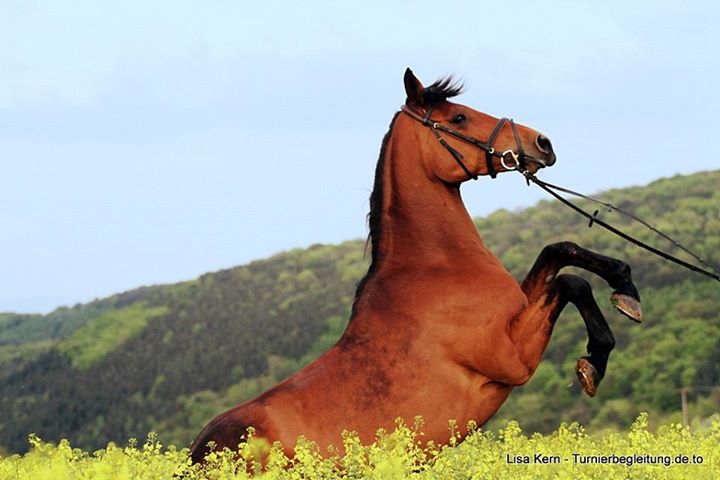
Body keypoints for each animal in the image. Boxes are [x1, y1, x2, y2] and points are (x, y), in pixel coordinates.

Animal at [188, 69, 640, 464]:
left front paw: (625, 288)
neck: (434, 267)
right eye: (459, 117)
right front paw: (594, 360)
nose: (542, 143)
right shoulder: (513, 356)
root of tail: (199, 453)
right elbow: (571, 283)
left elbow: (560, 251)